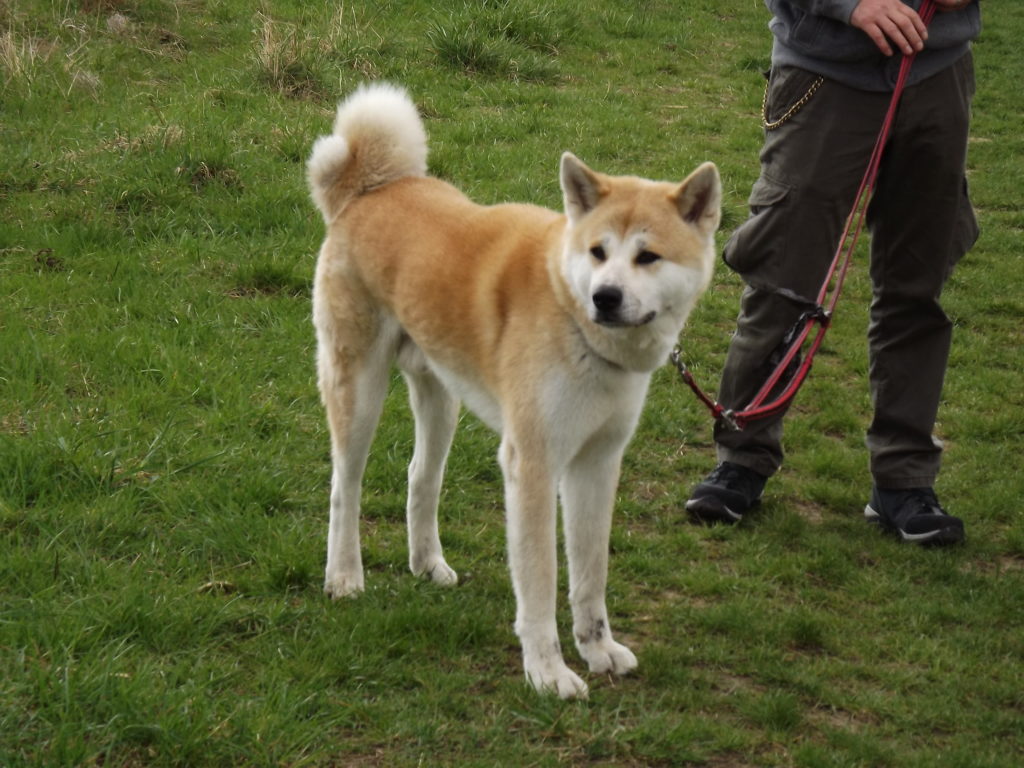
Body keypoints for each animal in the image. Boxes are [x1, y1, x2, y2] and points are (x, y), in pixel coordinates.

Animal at [307, 82, 716, 696]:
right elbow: (542, 583)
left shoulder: (598, 463)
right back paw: (344, 577)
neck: (573, 317)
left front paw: (598, 649)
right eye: (598, 252)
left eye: (648, 256)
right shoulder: (535, 464)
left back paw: (427, 564)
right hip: (359, 390)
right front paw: (548, 672)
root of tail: (369, 190)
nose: (605, 297)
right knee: (345, 486)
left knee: (420, 477)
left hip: (440, 397)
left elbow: (590, 574)